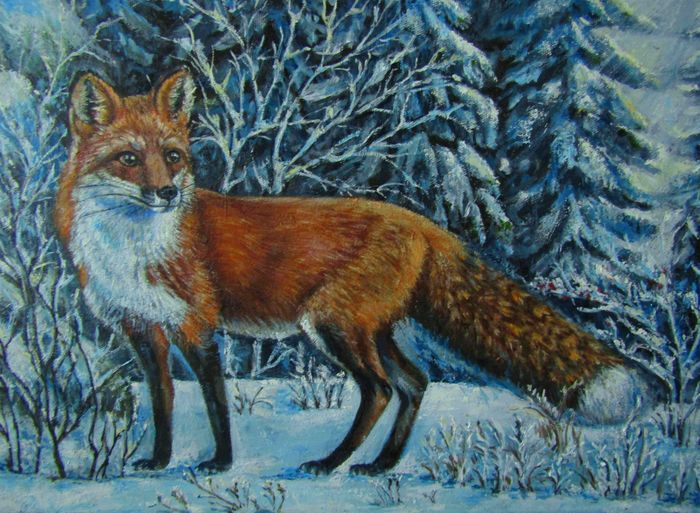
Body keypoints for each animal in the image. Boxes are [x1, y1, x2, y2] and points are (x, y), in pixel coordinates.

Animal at [54, 69, 660, 475]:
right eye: (129, 158)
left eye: (173, 157)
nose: (165, 193)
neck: (133, 248)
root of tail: (422, 222)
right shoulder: (141, 329)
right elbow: (161, 403)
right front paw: (157, 461)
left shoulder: (197, 325)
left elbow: (215, 404)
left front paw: (219, 464)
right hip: (372, 330)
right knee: (417, 383)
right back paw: (381, 466)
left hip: (334, 326)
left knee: (380, 391)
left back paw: (331, 463)